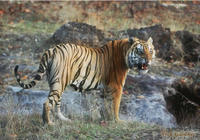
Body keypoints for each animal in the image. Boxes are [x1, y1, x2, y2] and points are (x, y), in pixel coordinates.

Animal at [14, 36, 155, 124]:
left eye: (151, 51)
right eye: (140, 52)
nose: (148, 61)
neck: (124, 53)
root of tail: (52, 49)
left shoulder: (106, 88)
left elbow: (105, 105)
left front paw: (104, 120)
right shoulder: (116, 86)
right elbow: (115, 105)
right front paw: (117, 121)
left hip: (56, 83)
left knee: (56, 103)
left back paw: (64, 120)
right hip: (60, 82)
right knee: (47, 103)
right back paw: (48, 123)